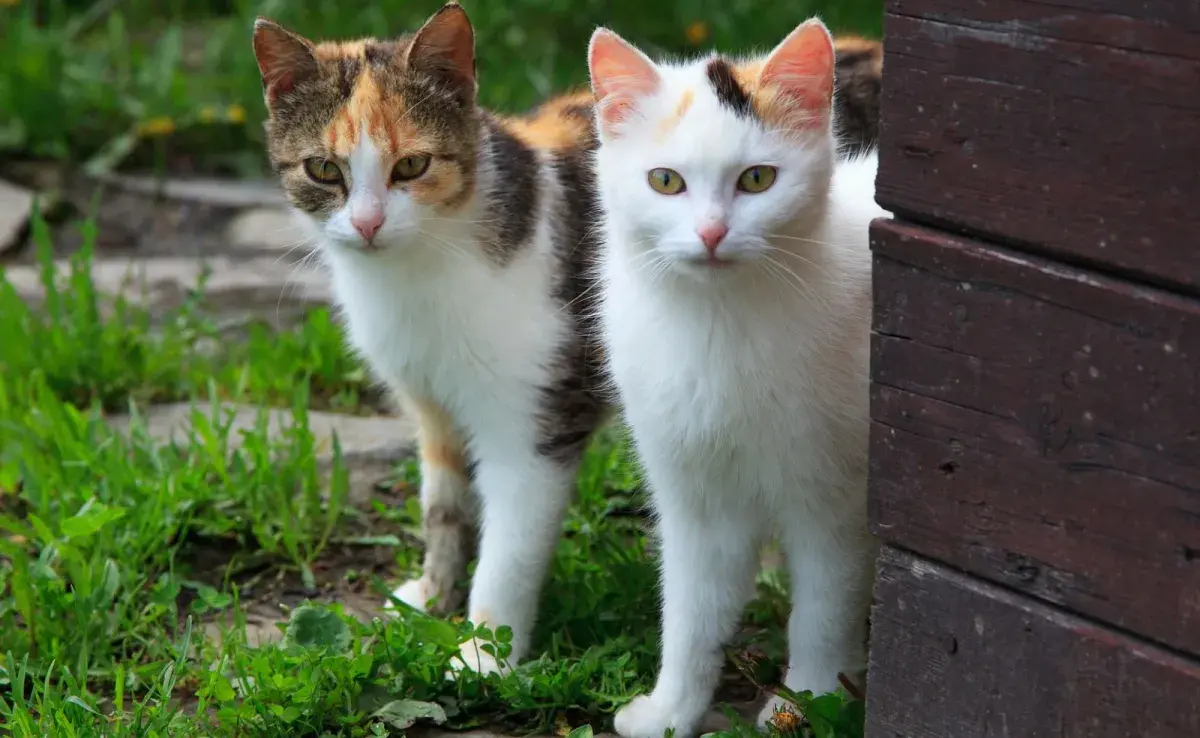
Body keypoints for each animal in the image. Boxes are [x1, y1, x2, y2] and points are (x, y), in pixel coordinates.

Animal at [253, 2, 609, 676]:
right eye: (323, 169)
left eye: (412, 166)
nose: (367, 224)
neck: (417, 280)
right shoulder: (432, 404)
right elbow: (442, 504)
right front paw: (433, 595)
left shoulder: (536, 421)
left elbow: (510, 549)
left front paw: (485, 654)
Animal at [588, 17, 883, 738]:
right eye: (665, 181)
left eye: (757, 178)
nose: (712, 233)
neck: (721, 324)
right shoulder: (694, 496)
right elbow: (691, 612)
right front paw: (672, 711)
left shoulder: (836, 501)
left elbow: (823, 615)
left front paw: (808, 705)